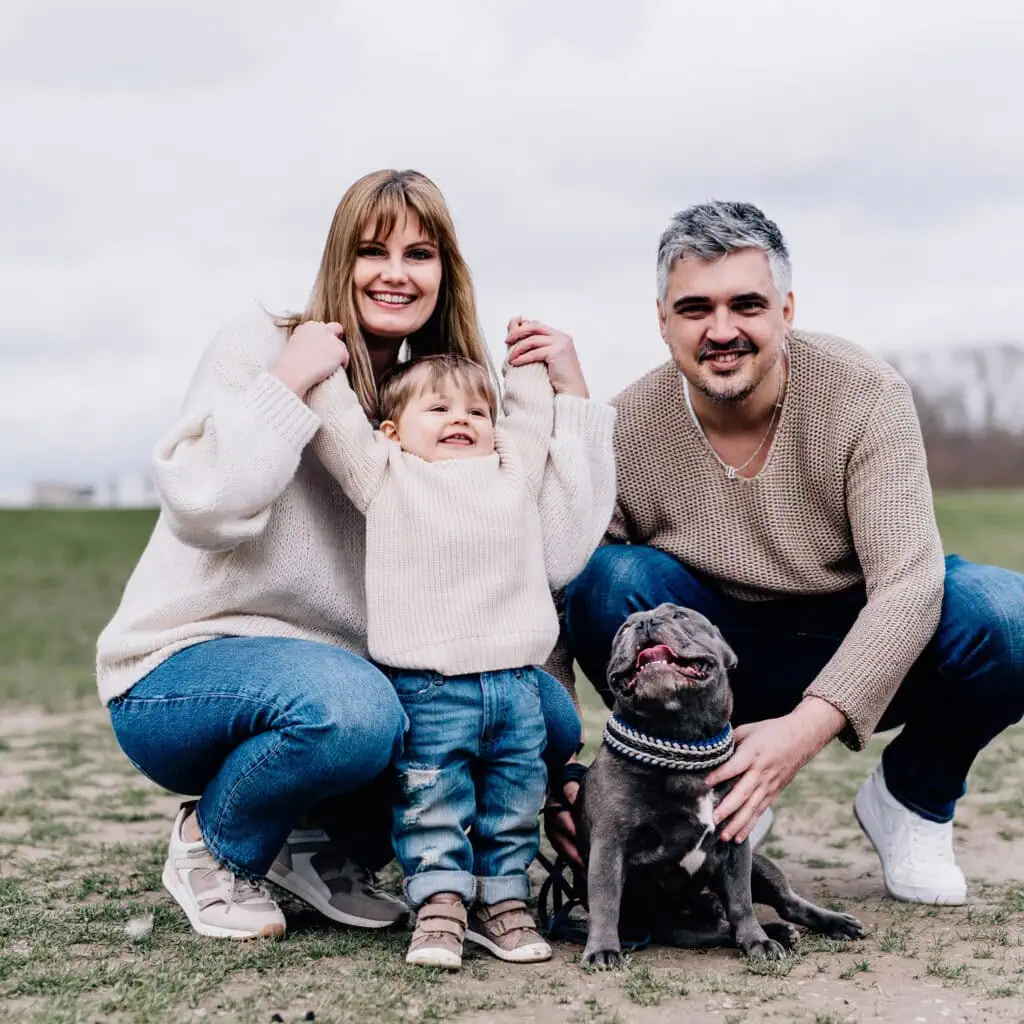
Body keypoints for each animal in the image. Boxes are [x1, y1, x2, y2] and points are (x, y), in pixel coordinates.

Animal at [577, 602, 864, 970]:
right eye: (623, 630)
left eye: (680, 615)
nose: (644, 622)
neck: (679, 739)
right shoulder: (610, 845)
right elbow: (605, 899)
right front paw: (601, 948)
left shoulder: (736, 846)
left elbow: (742, 900)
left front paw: (757, 941)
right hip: (685, 930)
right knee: (722, 929)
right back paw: (773, 930)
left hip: (762, 865)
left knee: (784, 903)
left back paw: (827, 923)